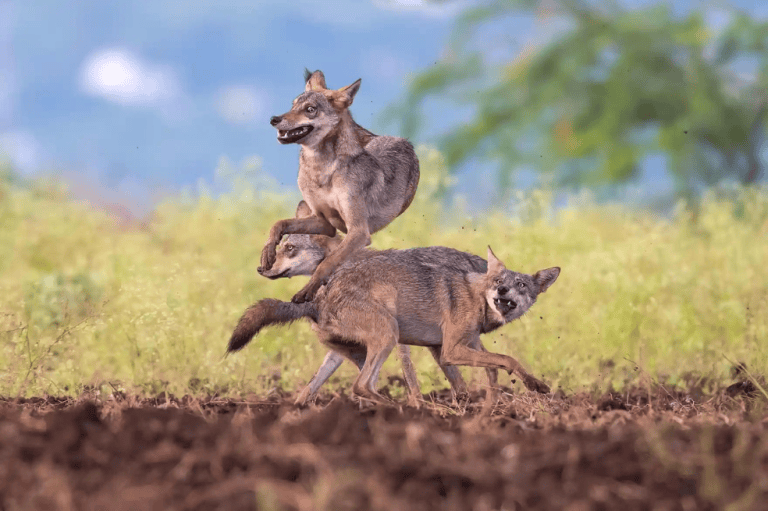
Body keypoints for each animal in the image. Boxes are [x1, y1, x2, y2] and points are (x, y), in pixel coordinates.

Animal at [231, 230, 558, 405]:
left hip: (398, 336)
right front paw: (295, 410)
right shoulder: (344, 351)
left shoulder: (402, 341)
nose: (262, 269)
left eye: (289, 248)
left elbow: (410, 378)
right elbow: (312, 386)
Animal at [260, 69, 420, 304]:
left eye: (310, 110)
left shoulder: (358, 232)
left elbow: (328, 261)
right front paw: (268, 252)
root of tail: (394, 137)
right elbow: (279, 223)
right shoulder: (323, 221)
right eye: (293, 105)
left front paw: (308, 289)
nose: (274, 119)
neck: (321, 173)